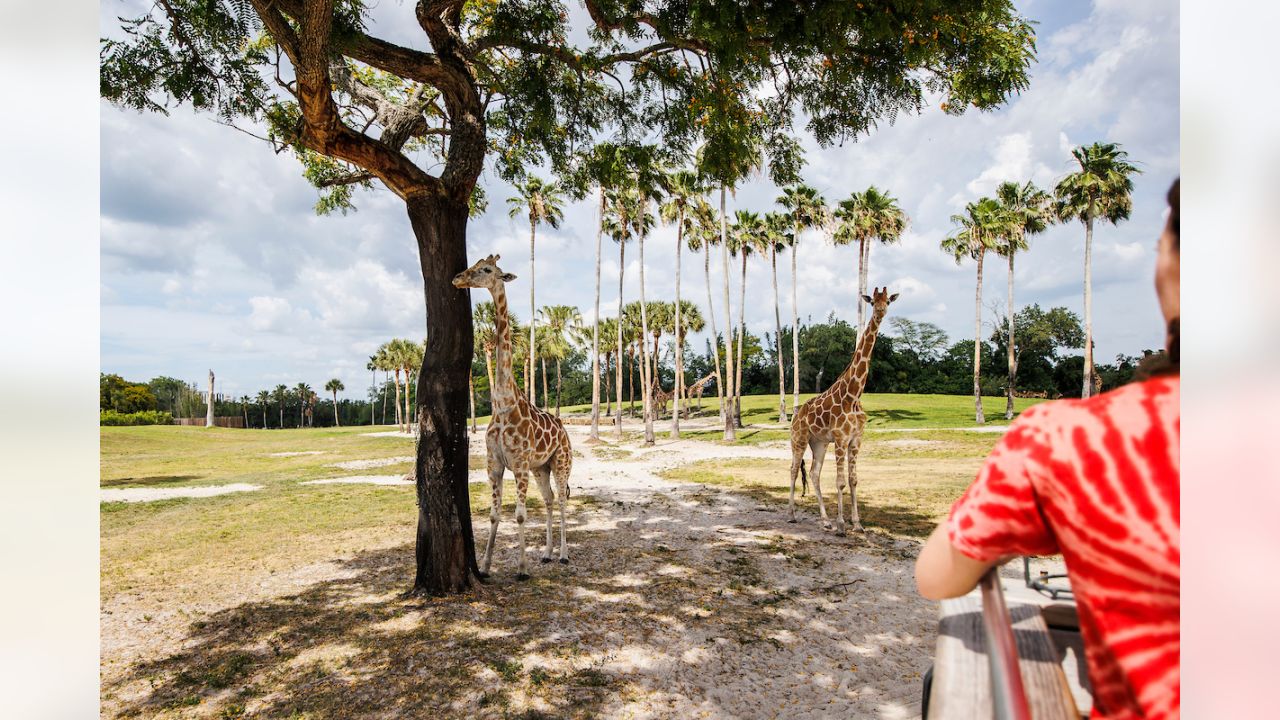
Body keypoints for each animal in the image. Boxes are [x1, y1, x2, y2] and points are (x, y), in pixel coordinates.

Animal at [778, 285, 901, 532]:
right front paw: (842, 525)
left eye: (888, 301)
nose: (880, 312)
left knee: (814, 473)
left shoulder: (855, 440)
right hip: (799, 439)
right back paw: (791, 514)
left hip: (819, 442)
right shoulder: (841, 439)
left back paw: (825, 521)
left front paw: (857, 523)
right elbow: (841, 481)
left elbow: (853, 480)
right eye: (872, 301)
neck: (853, 394)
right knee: (794, 470)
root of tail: (795, 415)